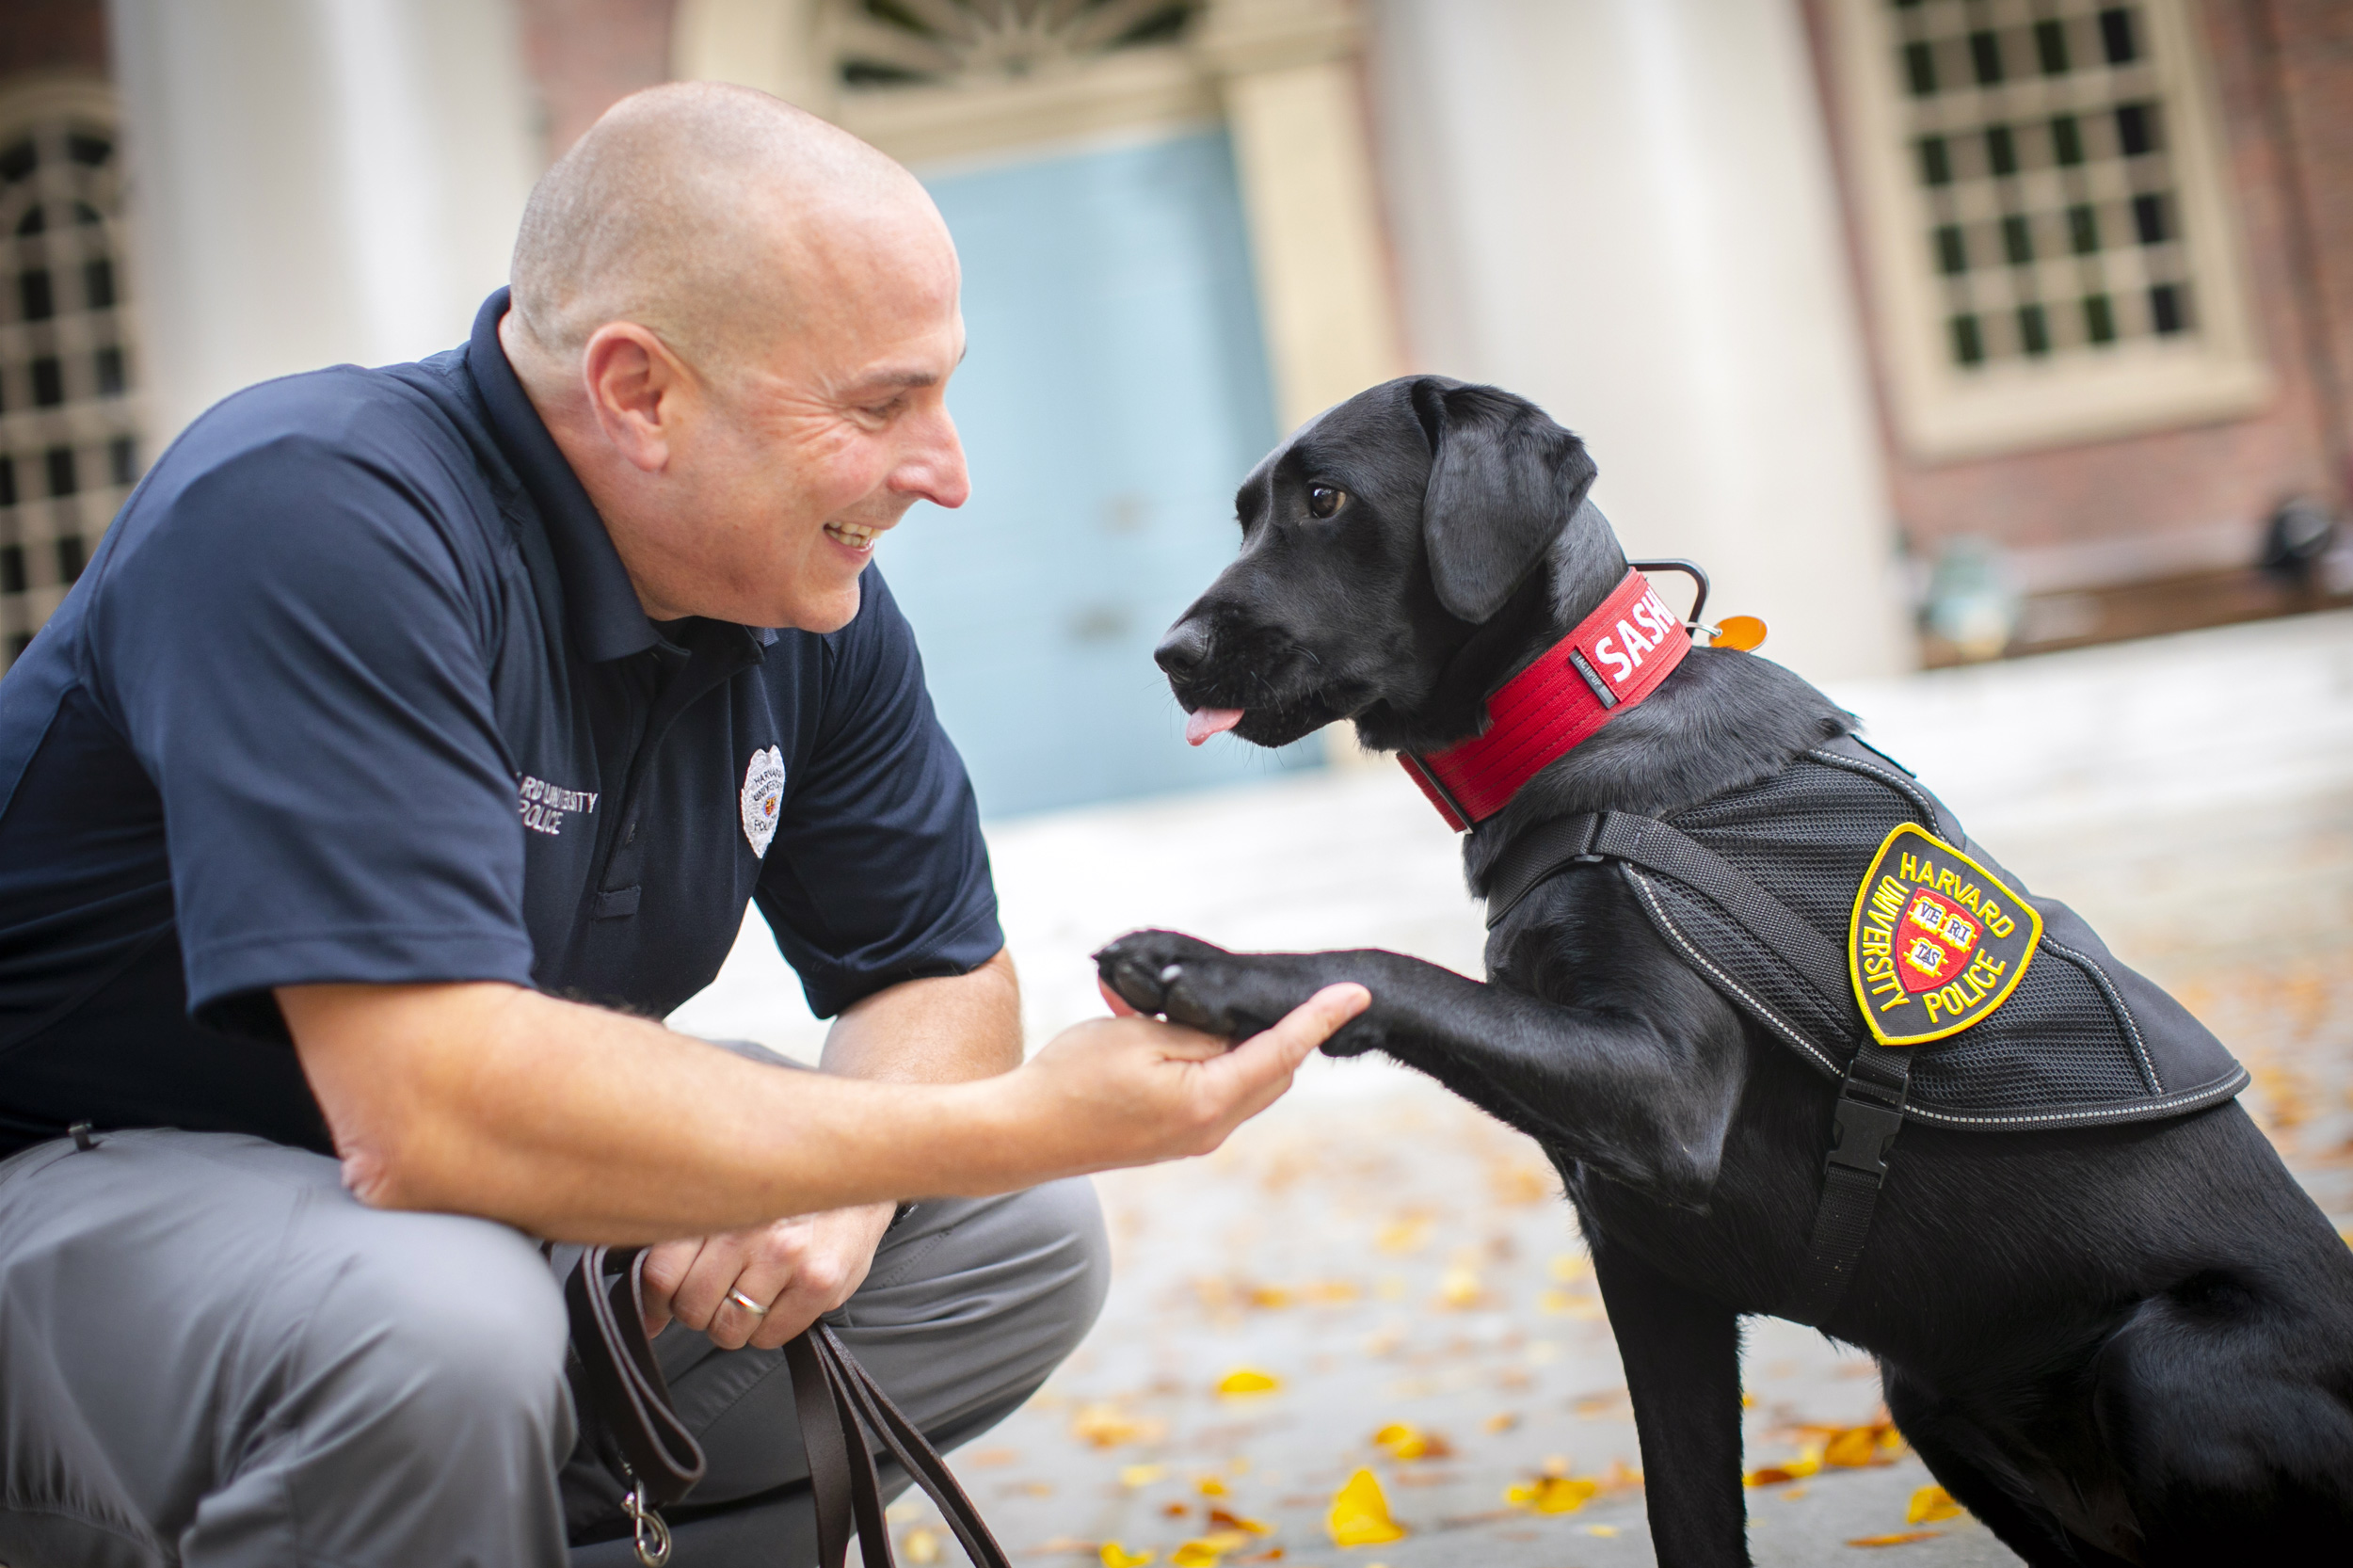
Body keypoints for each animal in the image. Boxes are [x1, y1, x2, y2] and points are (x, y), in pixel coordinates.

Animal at [1096, 378, 2353, 1562]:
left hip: (2161, 1358)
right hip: (1930, 1396)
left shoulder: (1665, 1098)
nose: (1169, 657)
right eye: (1247, 513)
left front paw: (1214, 971)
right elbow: (1687, 1516)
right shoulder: (1652, 1277)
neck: (1577, 720)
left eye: (1325, 499)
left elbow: (1396, 968)